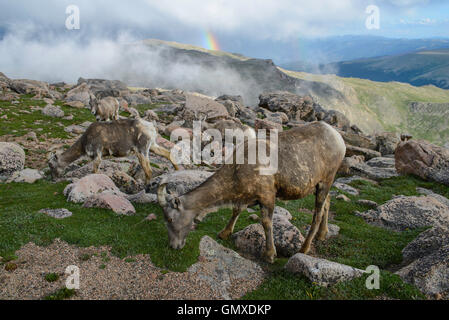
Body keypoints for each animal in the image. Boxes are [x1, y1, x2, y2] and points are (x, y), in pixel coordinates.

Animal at [48, 118, 178, 184]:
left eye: (51, 164)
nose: (53, 179)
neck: (84, 143)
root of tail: (152, 127)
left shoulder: (97, 154)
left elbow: (94, 171)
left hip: (142, 150)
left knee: (149, 171)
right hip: (152, 146)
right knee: (167, 154)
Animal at [158, 122, 346, 262]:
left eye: (170, 218)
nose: (174, 246)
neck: (236, 171)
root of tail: (339, 140)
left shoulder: (267, 194)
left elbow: (266, 222)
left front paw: (270, 254)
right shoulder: (246, 195)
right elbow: (236, 210)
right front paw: (224, 233)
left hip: (327, 179)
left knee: (317, 213)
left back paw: (304, 248)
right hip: (319, 184)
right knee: (328, 202)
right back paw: (322, 234)